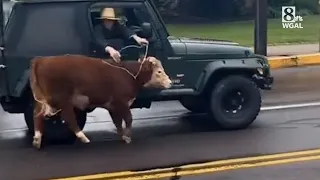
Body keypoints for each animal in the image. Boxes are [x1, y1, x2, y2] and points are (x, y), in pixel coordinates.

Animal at [29, 54, 172, 149]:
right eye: (159, 71)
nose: (170, 82)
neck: (128, 74)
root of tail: (41, 59)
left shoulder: (113, 106)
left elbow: (118, 122)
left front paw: (122, 136)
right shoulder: (121, 102)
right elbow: (128, 118)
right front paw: (127, 137)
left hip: (43, 100)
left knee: (37, 115)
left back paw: (37, 139)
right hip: (63, 99)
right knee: (69, 117)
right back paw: (83, 138)